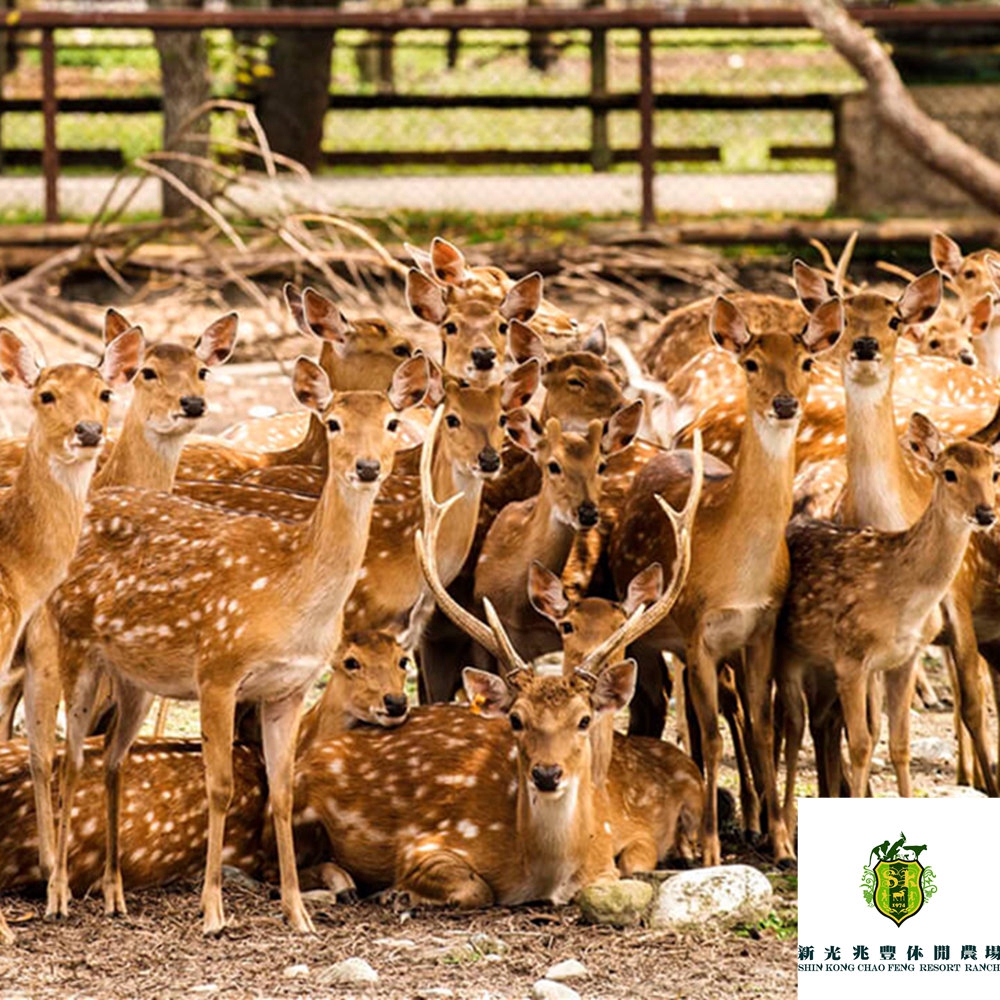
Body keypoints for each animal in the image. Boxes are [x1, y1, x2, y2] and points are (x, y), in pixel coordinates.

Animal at [43, 354, 428, 936]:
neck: (291, 592)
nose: (366, 467)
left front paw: (297, 913)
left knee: (111, 758)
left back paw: (115, 896)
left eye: (391, 422)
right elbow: (219, 787)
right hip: (73, 638)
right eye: (334, 423)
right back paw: (58, 896)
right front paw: (212, 912)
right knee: (69, 758)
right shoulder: (218, 670)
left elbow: (284, 791)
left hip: (134, 676)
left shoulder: (289, 687)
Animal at [608, 292, 844, 868]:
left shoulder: (760, 631)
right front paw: (714, 850)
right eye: (751, 362)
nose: (784, 403)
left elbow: (761, 727)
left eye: (807, 361)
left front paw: (782, 843)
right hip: (658, 634)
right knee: (684, 718)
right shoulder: (699, 631)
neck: (739, 570)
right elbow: (713, 736)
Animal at [780, 418, 1000, 824]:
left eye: (993, 473)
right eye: (949, 473)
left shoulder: (905, 658)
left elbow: (898, 742)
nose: (985, 513)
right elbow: (862, 742)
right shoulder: (850, 658)